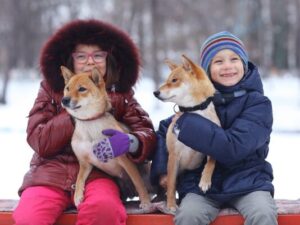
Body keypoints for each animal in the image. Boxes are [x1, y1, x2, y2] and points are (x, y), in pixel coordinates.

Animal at [60, 66, 152, 208]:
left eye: (82, 89)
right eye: (67, 88)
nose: (64, 100)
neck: (90, 123)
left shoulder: (126, 161)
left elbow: (138, 182)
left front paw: (145, 202)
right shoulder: (85, 163)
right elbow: (79, 179)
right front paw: (77, 195)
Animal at [155, 55, 220, 213]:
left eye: (174, 80)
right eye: (168, 80)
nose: (155, 92)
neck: (195, 112)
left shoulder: (213, 144)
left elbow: (211, 161)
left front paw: (205, 180)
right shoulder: (174, 155)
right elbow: (171, 183)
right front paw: (171, 205)